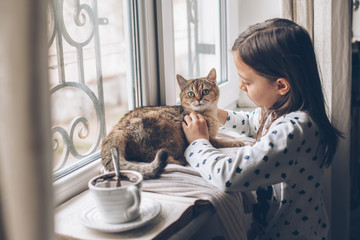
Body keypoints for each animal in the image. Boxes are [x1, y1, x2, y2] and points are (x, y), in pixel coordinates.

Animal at [100, 67, 243, 178]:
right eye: (191, 94)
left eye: (205, 91)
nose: (198, 99)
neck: (207, 114)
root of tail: (118, 128)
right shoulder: (209, 138)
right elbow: (221, 142)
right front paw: (236, 142)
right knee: (160, 158)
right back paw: (182, 160)